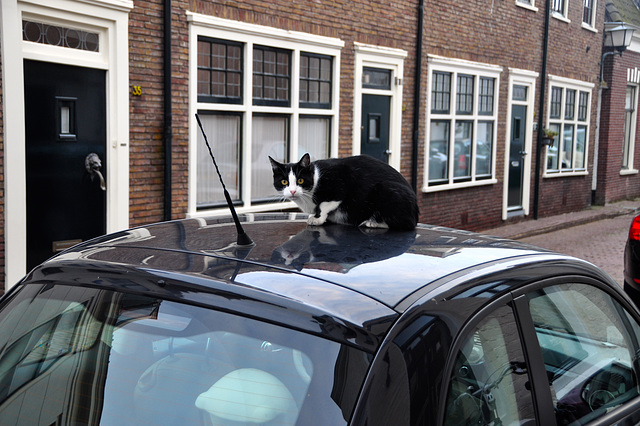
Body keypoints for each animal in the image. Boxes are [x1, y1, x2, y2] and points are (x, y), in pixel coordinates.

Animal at [268, 154, 418, 230]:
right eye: (284, 182)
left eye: (300, 180)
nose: (292, 191)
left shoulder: (344, 178)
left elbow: (325, 204)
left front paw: (318, 219)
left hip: (386, 189)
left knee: (406, 224)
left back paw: (372, 222)